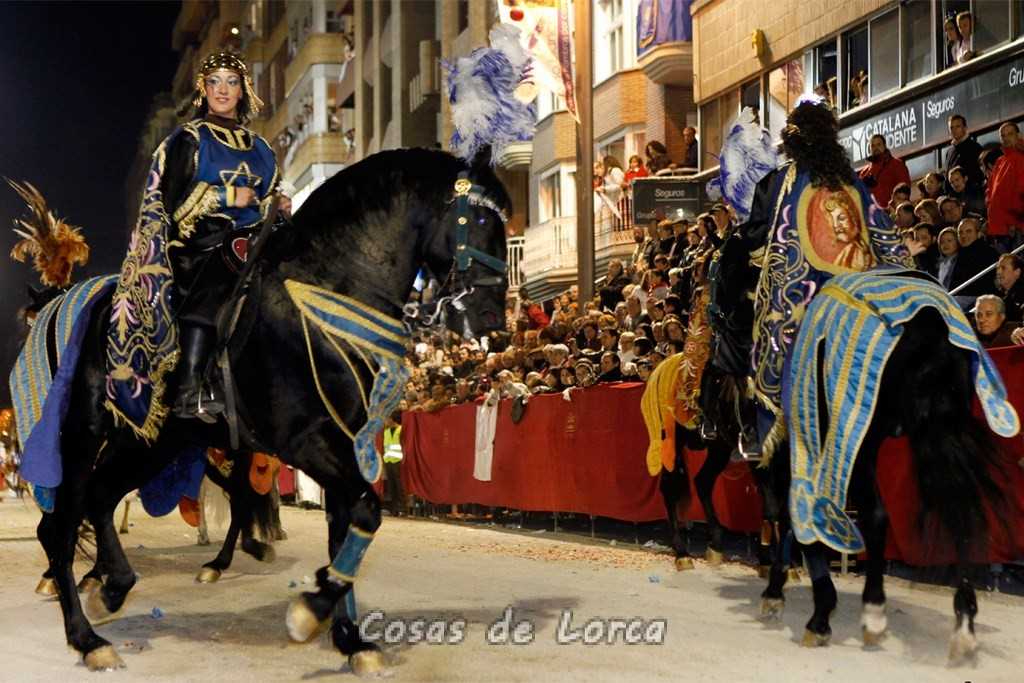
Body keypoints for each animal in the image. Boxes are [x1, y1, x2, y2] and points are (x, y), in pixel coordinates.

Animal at [32, 147, 510, 673]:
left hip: (154, 442)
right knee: (60, 522)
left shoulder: (344, 441)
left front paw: (350, 637)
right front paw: (312, 610)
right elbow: (366, 511)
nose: (492, 316)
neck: (327, 288)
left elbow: (346, 525)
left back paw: (113, 588)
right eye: (481, 218)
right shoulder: (304, 440)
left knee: (101, 497)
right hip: (88, 433)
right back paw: (86, 635)